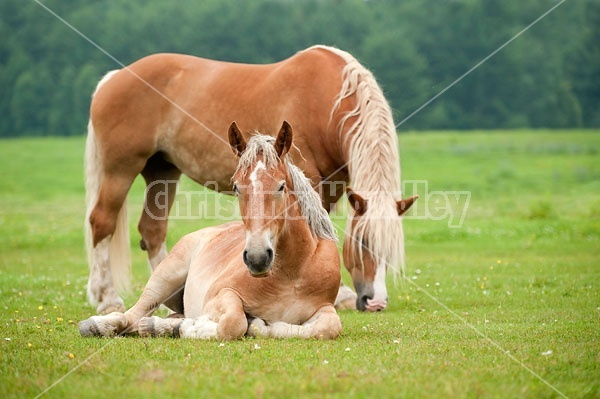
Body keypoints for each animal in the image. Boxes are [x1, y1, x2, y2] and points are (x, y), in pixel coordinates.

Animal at [78, 122, 342, 340]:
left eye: (281, 186)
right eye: (236, 187)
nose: (257, 257)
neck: (291, 273)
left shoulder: (325, 308)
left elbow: (328, 327)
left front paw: (261, 325)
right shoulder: (220, 294)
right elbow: (233, 323)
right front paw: (194, 328)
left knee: (144, 321)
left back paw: (155, 326)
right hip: (165, 277)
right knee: (131, 315)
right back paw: (98, 325)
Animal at [85, 44, 418, 316]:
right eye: (363, 242)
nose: (375, 302)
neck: (325, 99)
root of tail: (113, 78)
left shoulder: (332, 185)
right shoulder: (308, 179)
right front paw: (340, 295)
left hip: (162, 172)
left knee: (153, 230)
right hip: (120, 169)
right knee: (102, 222)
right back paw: (107, 299)